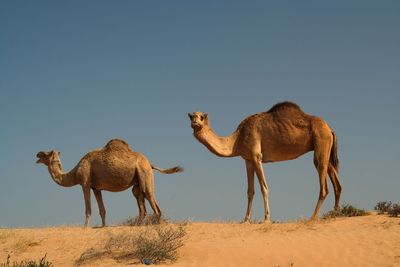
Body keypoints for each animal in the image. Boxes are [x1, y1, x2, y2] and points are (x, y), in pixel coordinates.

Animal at [36, 138, 183, 228]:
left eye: (45, 154)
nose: (37, 155)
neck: (75, 172)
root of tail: (150, 163)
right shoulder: (96, 188)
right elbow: (102, 210)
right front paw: (103, 226)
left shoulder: (85, 183)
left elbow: (88, 209)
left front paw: (85, 227)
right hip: (138, 181)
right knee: (142, 203)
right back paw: (137, 225)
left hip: (144, 173)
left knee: (152, 202)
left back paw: (157, 226)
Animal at [189, 101, 342, 223]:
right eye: (191, 116)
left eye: (201, 117)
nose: (194, 123)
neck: (237, 139)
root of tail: (330, 129)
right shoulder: (248, 160)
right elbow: (250, 191)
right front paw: (246, 220)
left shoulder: (257, 156)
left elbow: (264, 187)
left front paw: (267, 218)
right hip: (325, 149)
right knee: (337, 184)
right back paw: (336, 213)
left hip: (321, 143)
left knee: (324, 185)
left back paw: (313, 217)